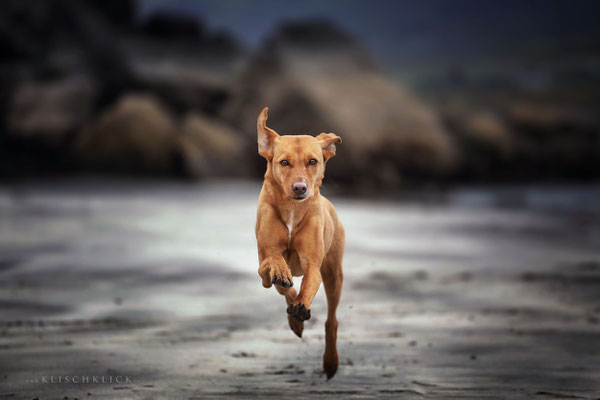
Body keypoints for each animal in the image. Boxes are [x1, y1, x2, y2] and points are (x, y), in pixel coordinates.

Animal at [254, 105, 346, 378]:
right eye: (284, 162)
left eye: (313, 161)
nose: (299, 188)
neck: (292, 210)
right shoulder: (263, 266)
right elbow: (276, 268)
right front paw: (282, 274)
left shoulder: (313, 264)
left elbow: (306, 286)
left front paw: (301, 306)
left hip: (334, 275)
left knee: (331, 319)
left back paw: (330, 361)